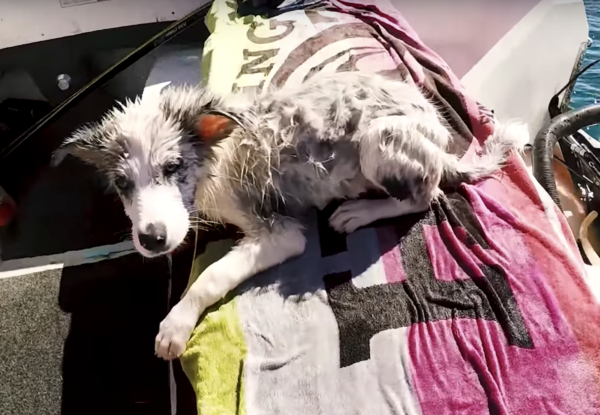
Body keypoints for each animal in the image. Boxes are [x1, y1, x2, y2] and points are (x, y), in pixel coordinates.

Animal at [54, 70, 528, 358]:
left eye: (173, 168)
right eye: (122, 184)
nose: (151, 240)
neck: (215, 158)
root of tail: (440, 140)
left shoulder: (280, 233)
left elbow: (210, 276)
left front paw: (175, 324)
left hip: (380, 138)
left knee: (424, 195)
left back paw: (359, 211)